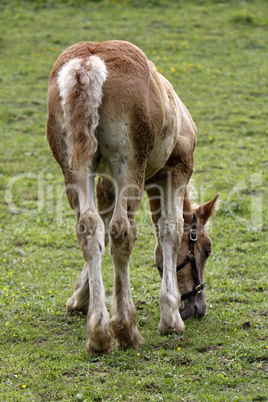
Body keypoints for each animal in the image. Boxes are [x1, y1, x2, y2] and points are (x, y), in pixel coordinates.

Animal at [46, 40, 219, 354]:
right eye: (206, 250)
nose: (197, 308)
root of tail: (87, 63)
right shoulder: (177, 170)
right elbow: (170, 229)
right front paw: (171, 317)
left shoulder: (105, 181)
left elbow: (99, 228)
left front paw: (80, 297)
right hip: (129, 165)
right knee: (121, 232)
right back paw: (125, 328)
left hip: (75, 167)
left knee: (88, 227)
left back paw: (98, 333)